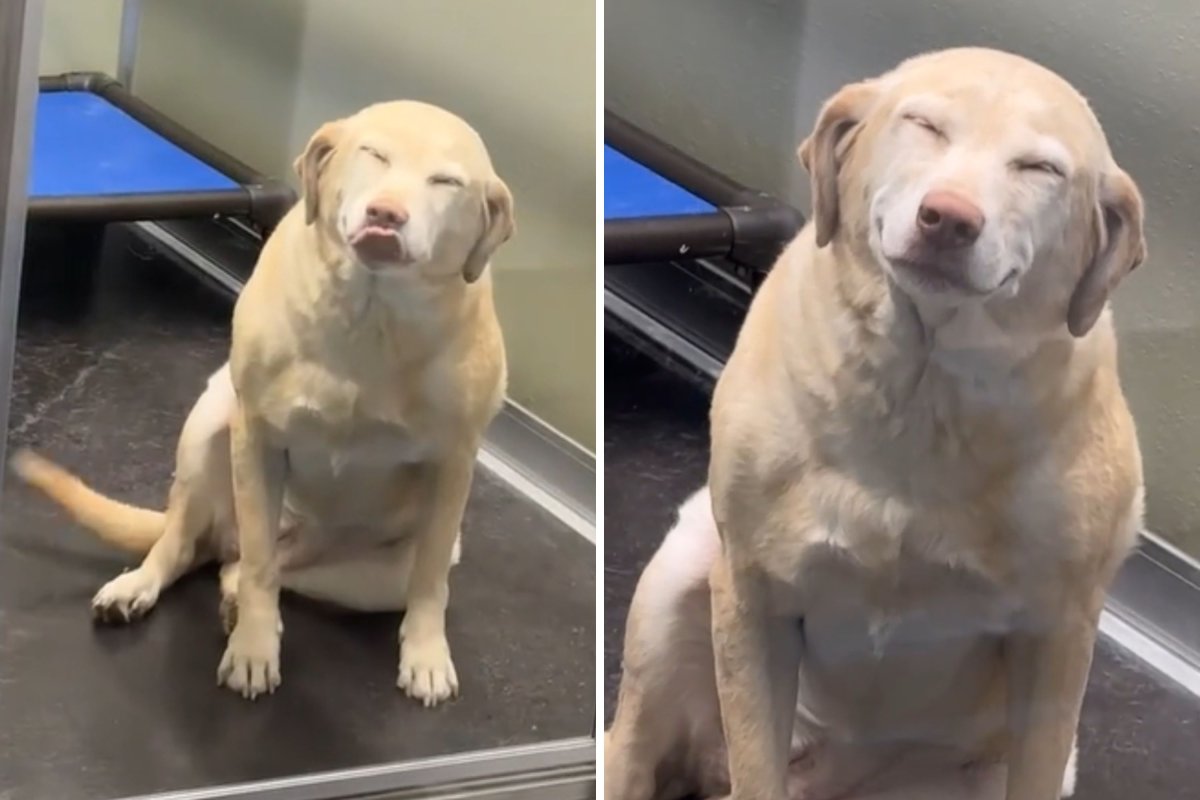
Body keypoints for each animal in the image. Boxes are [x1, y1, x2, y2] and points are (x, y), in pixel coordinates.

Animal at [11, 100, 513, 705]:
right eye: (373, 153)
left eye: (446, 182)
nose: (387, 213)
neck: (369, 314)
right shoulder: (256, 437)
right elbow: (256, 564)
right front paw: (252, 649)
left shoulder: (453, 465)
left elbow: (431, 583)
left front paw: (426, 655)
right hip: (209, 424)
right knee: (198, 546)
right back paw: (151, 586)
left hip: (378, 575)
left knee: (251, 568)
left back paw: (236, 600)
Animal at [609, 50, 1142, 800]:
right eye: (923, 124)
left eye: (1040, 169)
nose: (949, 218)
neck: (921, 391)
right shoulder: (754, 599)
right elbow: (756, 761)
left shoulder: (1058, 640)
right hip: (680, 580)